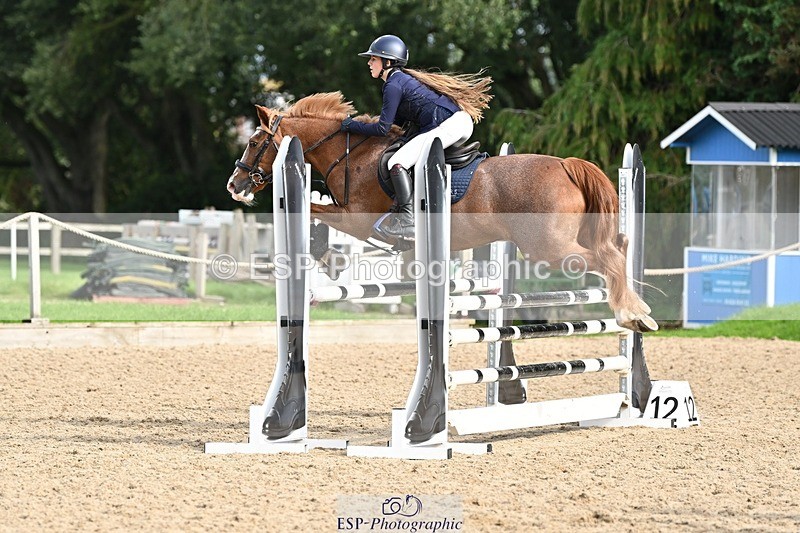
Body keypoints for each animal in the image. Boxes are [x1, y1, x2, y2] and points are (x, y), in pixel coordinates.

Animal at [226, 92, 656, 333]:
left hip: (549, 248)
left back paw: (631, 314)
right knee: (619, 246)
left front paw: (324, 262)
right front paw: (328, 265)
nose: (235, 185)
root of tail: (566, 165)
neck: (350, 154)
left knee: (608, 257)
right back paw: (639, 310)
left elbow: (317, 214)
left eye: (254, 142)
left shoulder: (356, 218)